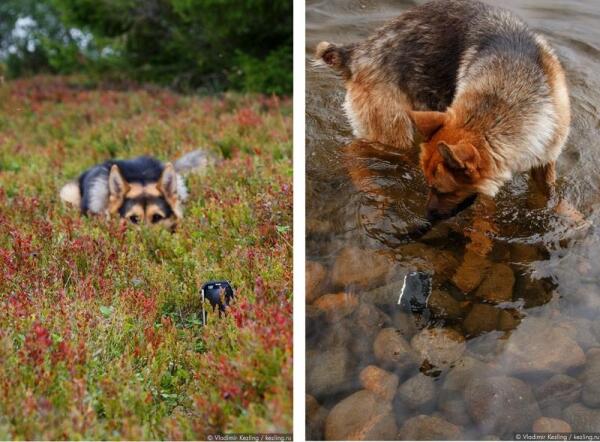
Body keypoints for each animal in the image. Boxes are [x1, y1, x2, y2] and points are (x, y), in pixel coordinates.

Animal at [316, 0, 568, 221]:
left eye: (443, 191)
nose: (427, 216)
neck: (503, 96)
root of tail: (358, 51)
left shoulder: (545, 160)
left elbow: (550, 195)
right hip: (392, 134)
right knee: (352, 149)